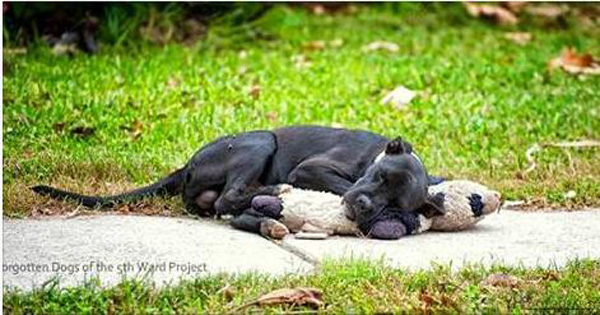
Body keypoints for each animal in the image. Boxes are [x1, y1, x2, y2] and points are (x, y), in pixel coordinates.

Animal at [34, 126, 446, 235]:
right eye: (379, 176)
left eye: (396, 201)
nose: (363, 206)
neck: (372, 155)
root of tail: (188, 164)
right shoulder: (311, 170)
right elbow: (342, 186)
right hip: (260, 141)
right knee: (227, 198)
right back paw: (273, 192)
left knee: (224, 204)